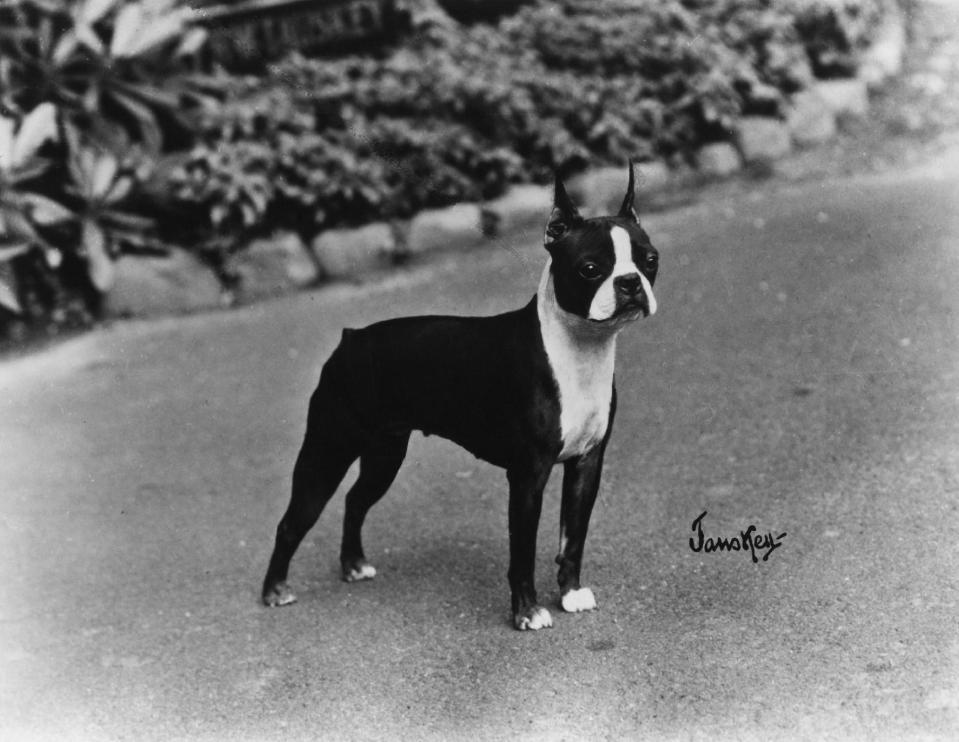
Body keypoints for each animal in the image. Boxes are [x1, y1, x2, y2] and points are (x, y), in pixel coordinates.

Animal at [262, 163, 660, 632]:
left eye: (650, 260)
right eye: (591, 268)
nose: (631, 282)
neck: (579, 350)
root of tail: (351, 340)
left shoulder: (586, 464)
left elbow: (573, 537)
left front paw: (571, 593)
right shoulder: (528, 475)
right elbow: (522, 553)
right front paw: (527, 612)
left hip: (384, 454)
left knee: (356, 501)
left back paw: (353, 564)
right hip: (327, 452)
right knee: (293, 522)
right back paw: (275, 590)